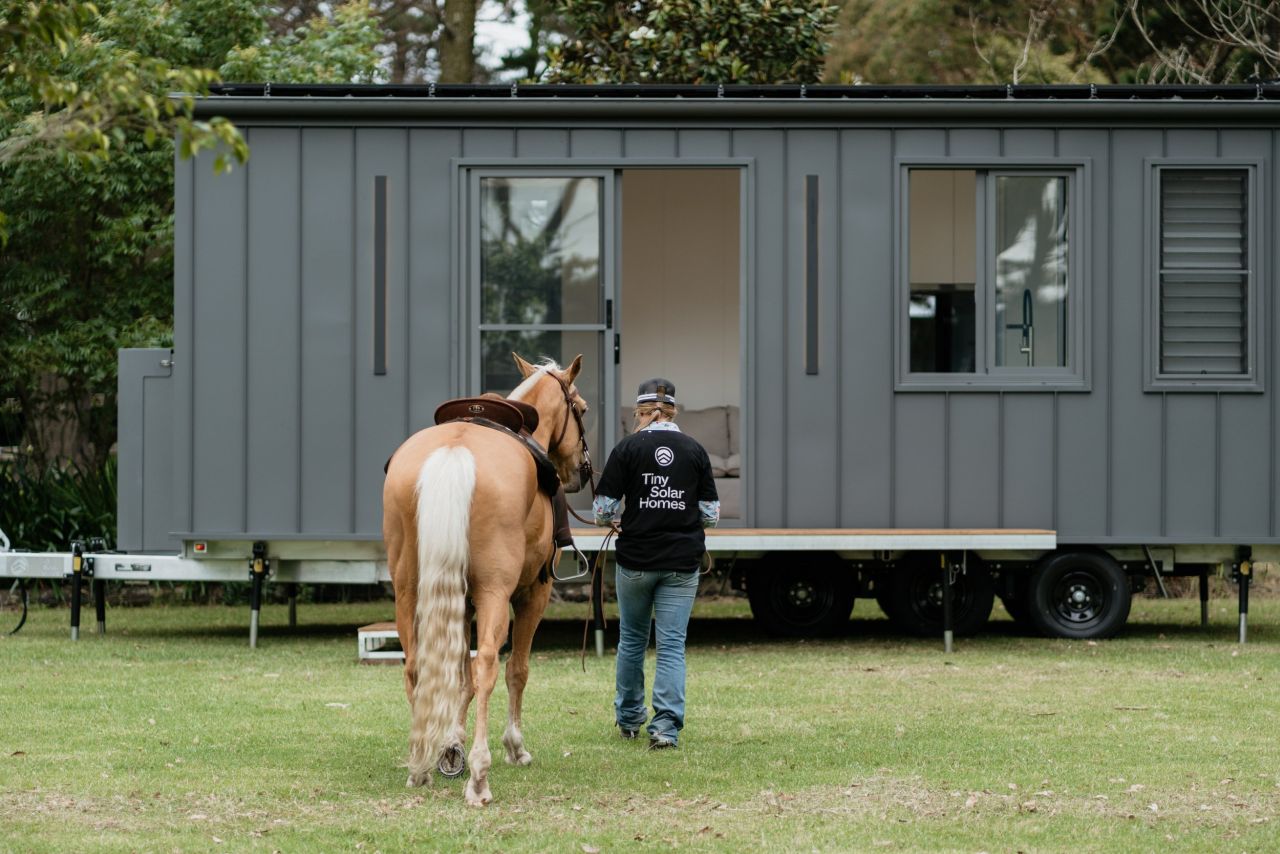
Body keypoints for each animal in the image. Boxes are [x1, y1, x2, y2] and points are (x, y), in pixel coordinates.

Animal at [378, 350, 588, 804]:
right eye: (581, 409)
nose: (581, 470)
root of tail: (455, 449)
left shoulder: (461, 600)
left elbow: (458, 677)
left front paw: (450, 746)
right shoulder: (532, 594)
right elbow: (515, 670)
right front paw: (513, 746)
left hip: (408, 590)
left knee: (417, 666)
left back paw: (420, 766)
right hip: (496, 593)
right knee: (489, 664)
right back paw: (479, 775)